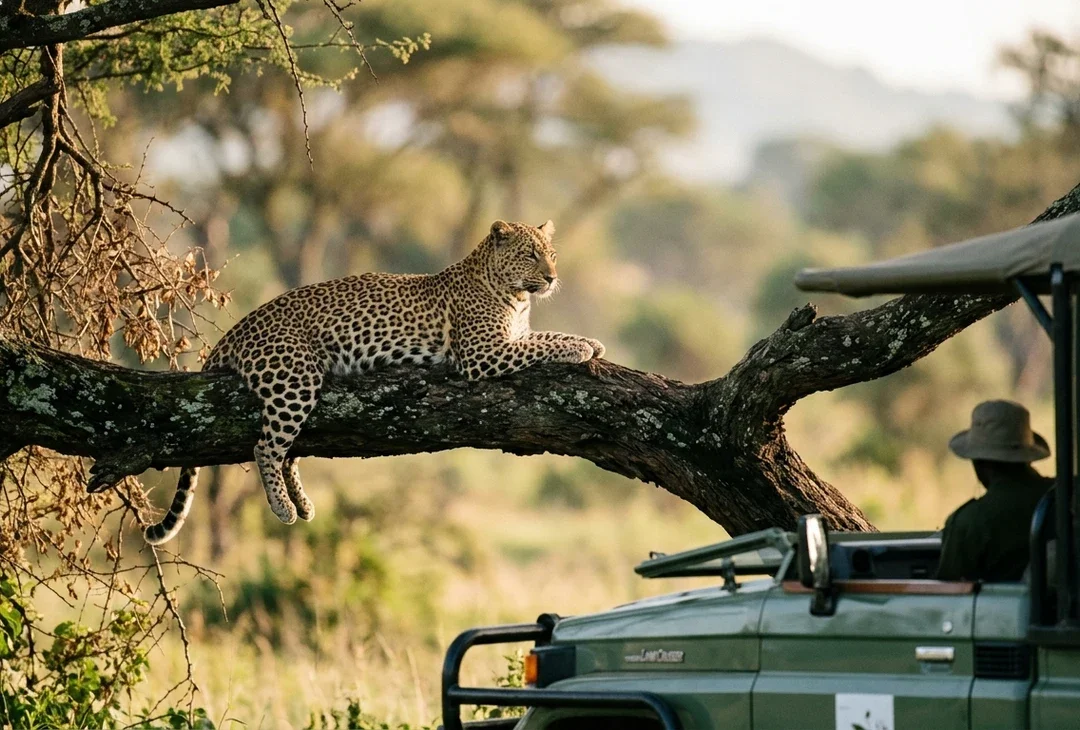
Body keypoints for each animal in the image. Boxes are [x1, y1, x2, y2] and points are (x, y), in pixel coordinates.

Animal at [143, 219, 605, 545]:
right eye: (530, 255)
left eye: (552, 254)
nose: (552, 277)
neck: (516, 296)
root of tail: (236, 329)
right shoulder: (483, 353)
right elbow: (544, 344)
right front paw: (583, 346)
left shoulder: (510, 339)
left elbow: (543, 336)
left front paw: (591, 342)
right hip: (295, 377)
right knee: (266, 447)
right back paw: (284, 509)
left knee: (288, 451)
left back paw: (304, 505)